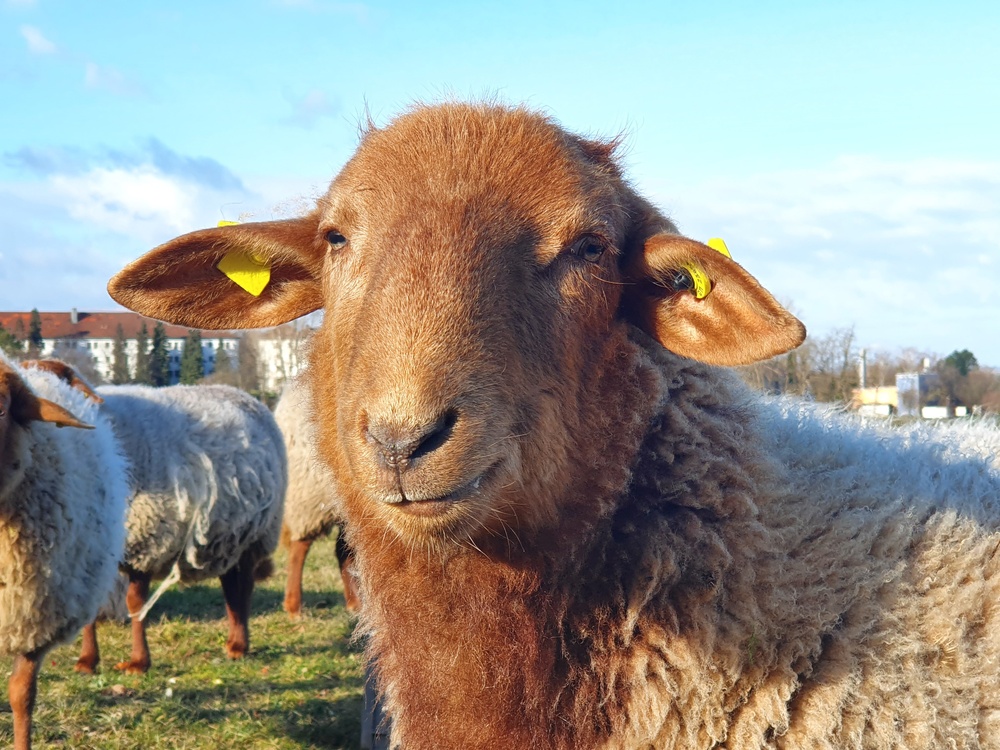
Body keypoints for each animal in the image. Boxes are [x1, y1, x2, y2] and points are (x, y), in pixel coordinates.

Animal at [73, 382, 286, 676]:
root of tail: (239, 392)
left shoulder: (147, 542)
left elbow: (136, 603)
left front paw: (139, 662)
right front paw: (87, 660)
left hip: (254, 535)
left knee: (242, 588)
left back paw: (239, 645)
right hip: (225, 538)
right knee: (230, 586)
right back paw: (233, 641)